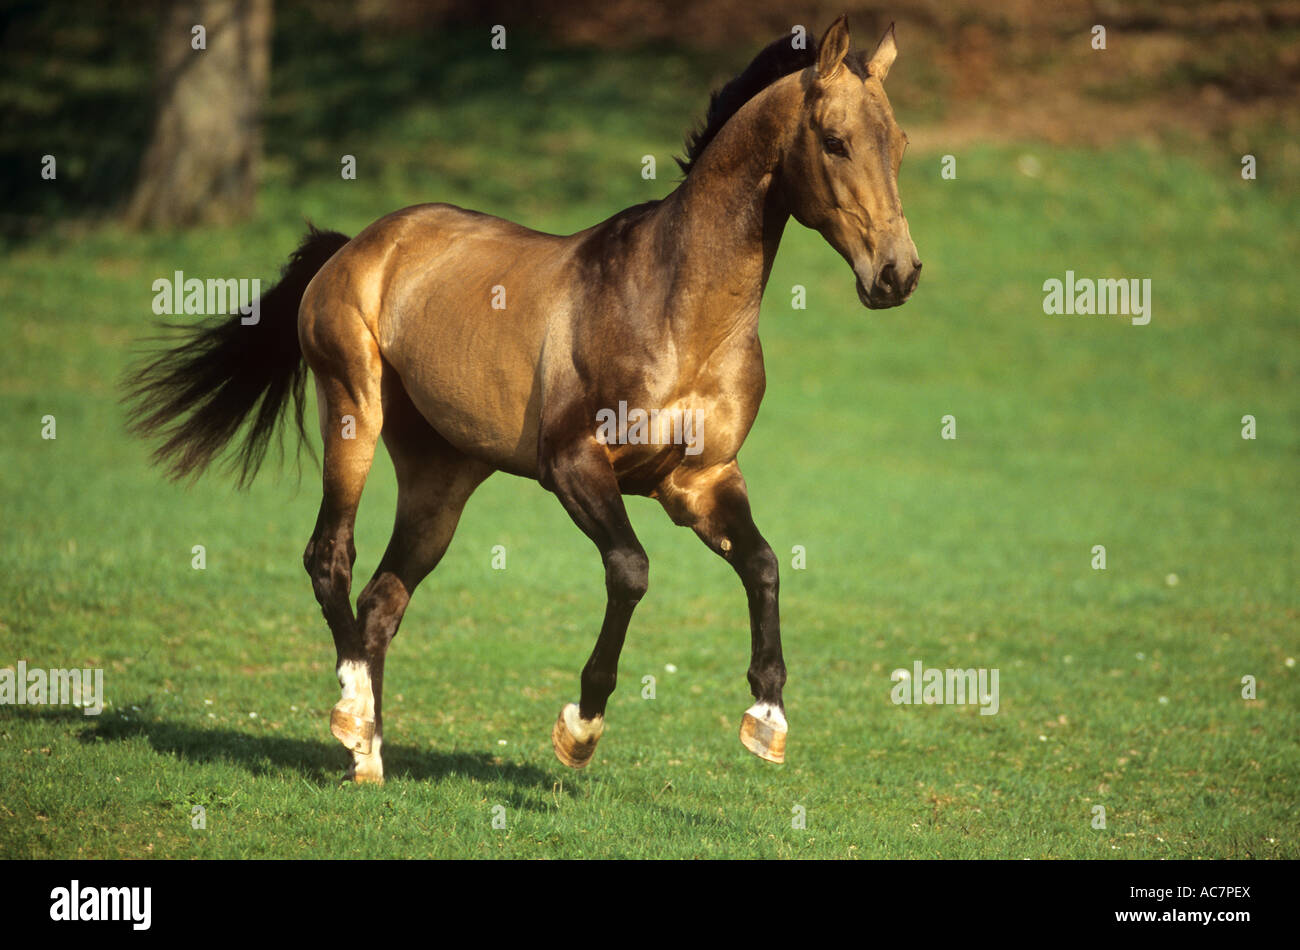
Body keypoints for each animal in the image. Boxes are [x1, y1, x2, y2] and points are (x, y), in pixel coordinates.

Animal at [119, 14, 915, 784]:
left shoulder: (700, 481)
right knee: (330, 558)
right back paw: (351, 712)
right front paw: (580, 730)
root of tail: (356, 247)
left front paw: (767, 720)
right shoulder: (573, 465)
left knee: (383, 600)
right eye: (836, 142)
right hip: (352, 411)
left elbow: (764, 564)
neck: (673, 311)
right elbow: (631, 571)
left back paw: (368, 757)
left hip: (441, 480)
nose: (897, 275)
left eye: (901, 144)